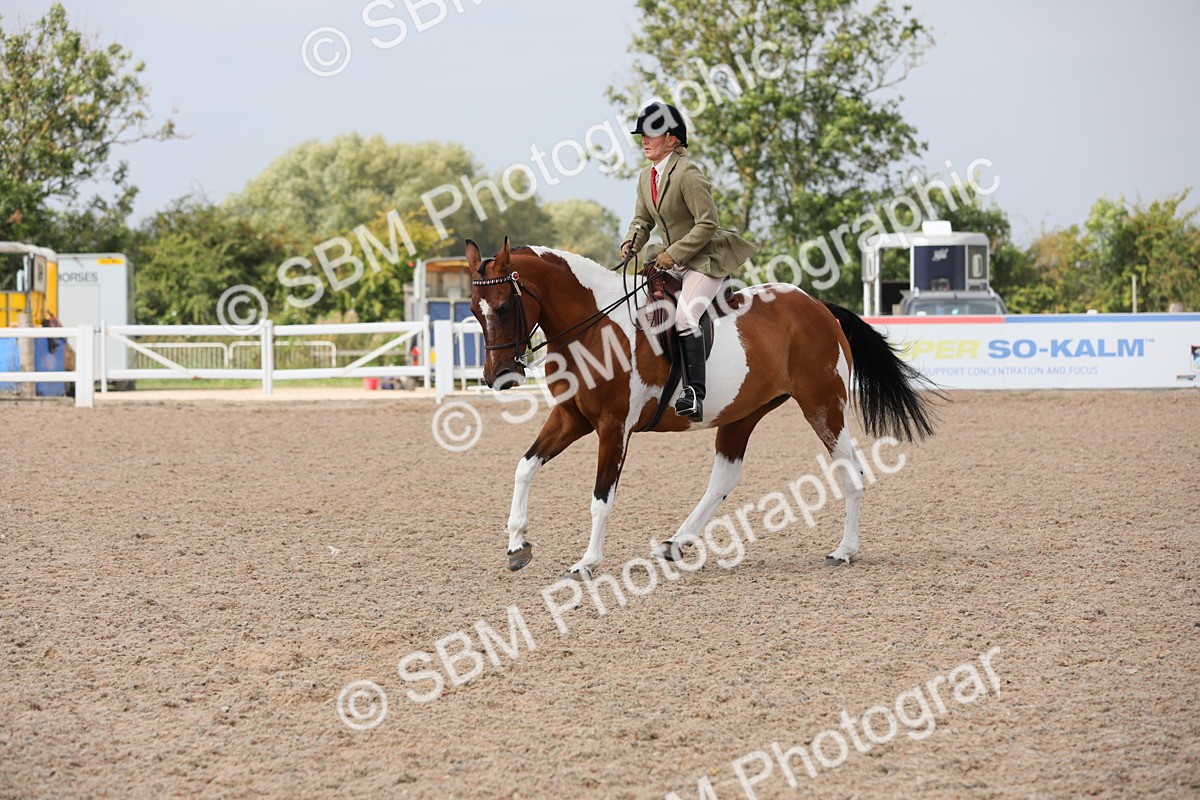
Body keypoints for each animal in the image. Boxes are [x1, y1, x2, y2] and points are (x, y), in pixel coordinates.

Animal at [466, 238, 937, 579]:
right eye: (473, 309)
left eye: (504, 307)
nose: (498, 377)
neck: (595, 327)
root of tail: (819, 307)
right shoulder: (571, 417)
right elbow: (524, 467)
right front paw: (517, 545)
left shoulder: (614, 427)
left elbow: (601, 497)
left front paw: (587, 562)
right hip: (743, 413)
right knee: (725, 477)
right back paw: (676, 543)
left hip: (823, 405)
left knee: (848, 471)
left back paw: (844, 551)